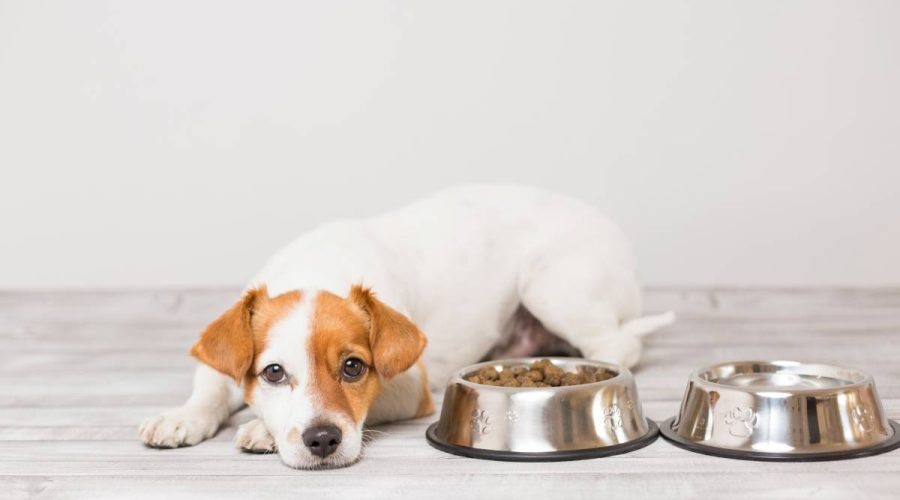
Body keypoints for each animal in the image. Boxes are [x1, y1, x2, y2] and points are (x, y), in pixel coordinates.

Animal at [141, 184, 672, 468]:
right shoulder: (225, 361)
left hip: (553, 287)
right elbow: (211, 387)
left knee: (619, 343)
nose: (322, 440)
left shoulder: (409, 387)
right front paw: (182, 416)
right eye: (273, 372)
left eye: (354, 367)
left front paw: (261, 429)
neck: (316, 269)